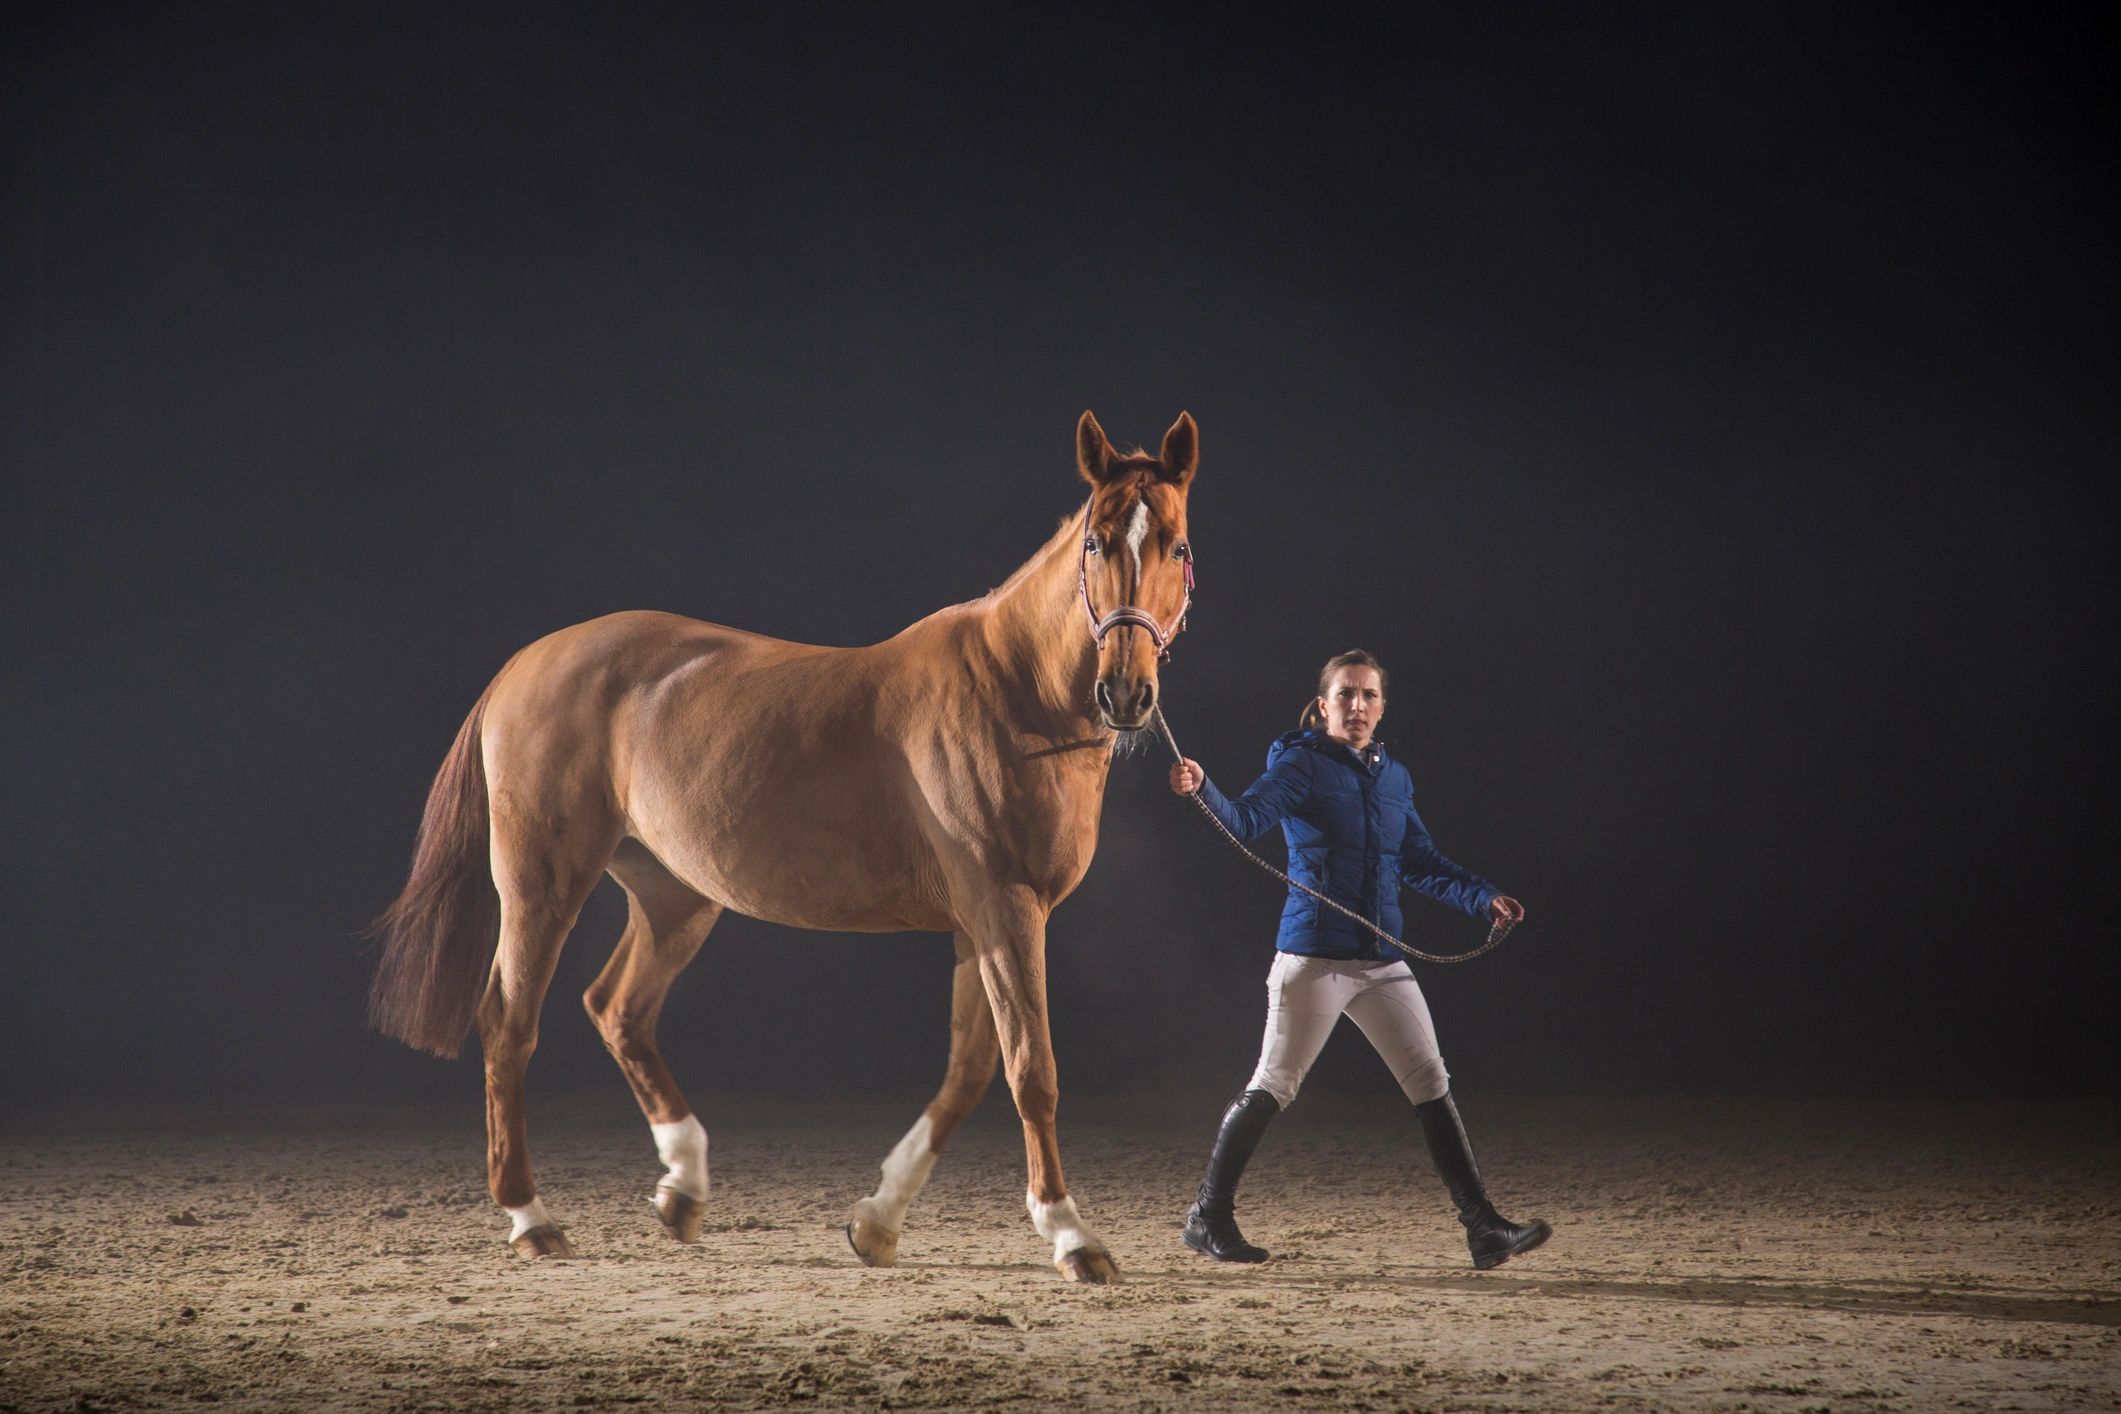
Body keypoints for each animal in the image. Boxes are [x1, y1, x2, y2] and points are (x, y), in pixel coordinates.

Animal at [367, 410, 1199, 1284]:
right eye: (1095, 543)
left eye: (1176, 545)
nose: (1126, 694)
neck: (1012, 691)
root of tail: (524, 665)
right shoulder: (1006, 911)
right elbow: (1030, 1070)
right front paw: (1072, 1235)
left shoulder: (980, 926)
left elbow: (969, 1072)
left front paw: (875, 1222)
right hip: (541, 886)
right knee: (508, 1024)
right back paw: (531, 1217)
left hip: (676, 897)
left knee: (617, 1007)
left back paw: (682, 1188)